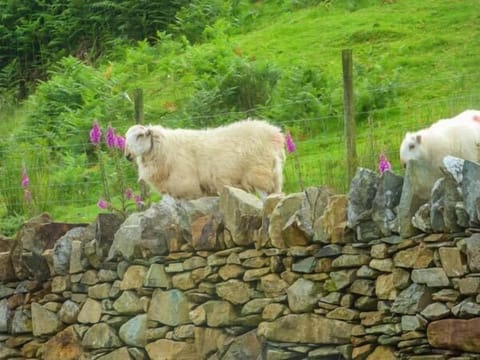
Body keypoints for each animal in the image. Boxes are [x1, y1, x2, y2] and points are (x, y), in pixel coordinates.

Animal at [125, 120, 286, 200]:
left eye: (140, 135)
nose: (127, 155)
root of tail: (274, 133)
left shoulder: (187, 187)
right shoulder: (171, 190)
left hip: (258, 173)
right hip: (274, 174)